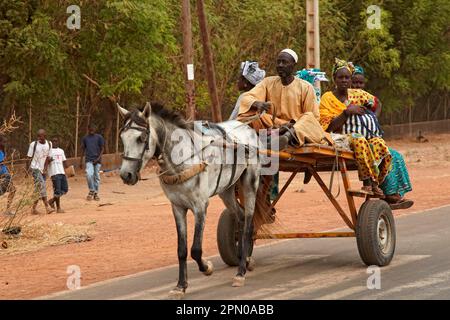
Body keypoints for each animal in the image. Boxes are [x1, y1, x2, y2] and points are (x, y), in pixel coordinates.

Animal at [118, 102, 262, 298]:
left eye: (141, 137)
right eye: (122, 138)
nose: (126, 175)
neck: (182, 161)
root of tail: (247, 128)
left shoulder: (200, 206)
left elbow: (195, 249)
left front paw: (207, 267)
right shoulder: (177, 207)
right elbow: (182, 250)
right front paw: (180, 286)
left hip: (250, 184)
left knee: (247, 225)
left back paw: (240, 273)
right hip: (227, 190)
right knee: (239, 218)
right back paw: (245, 259)